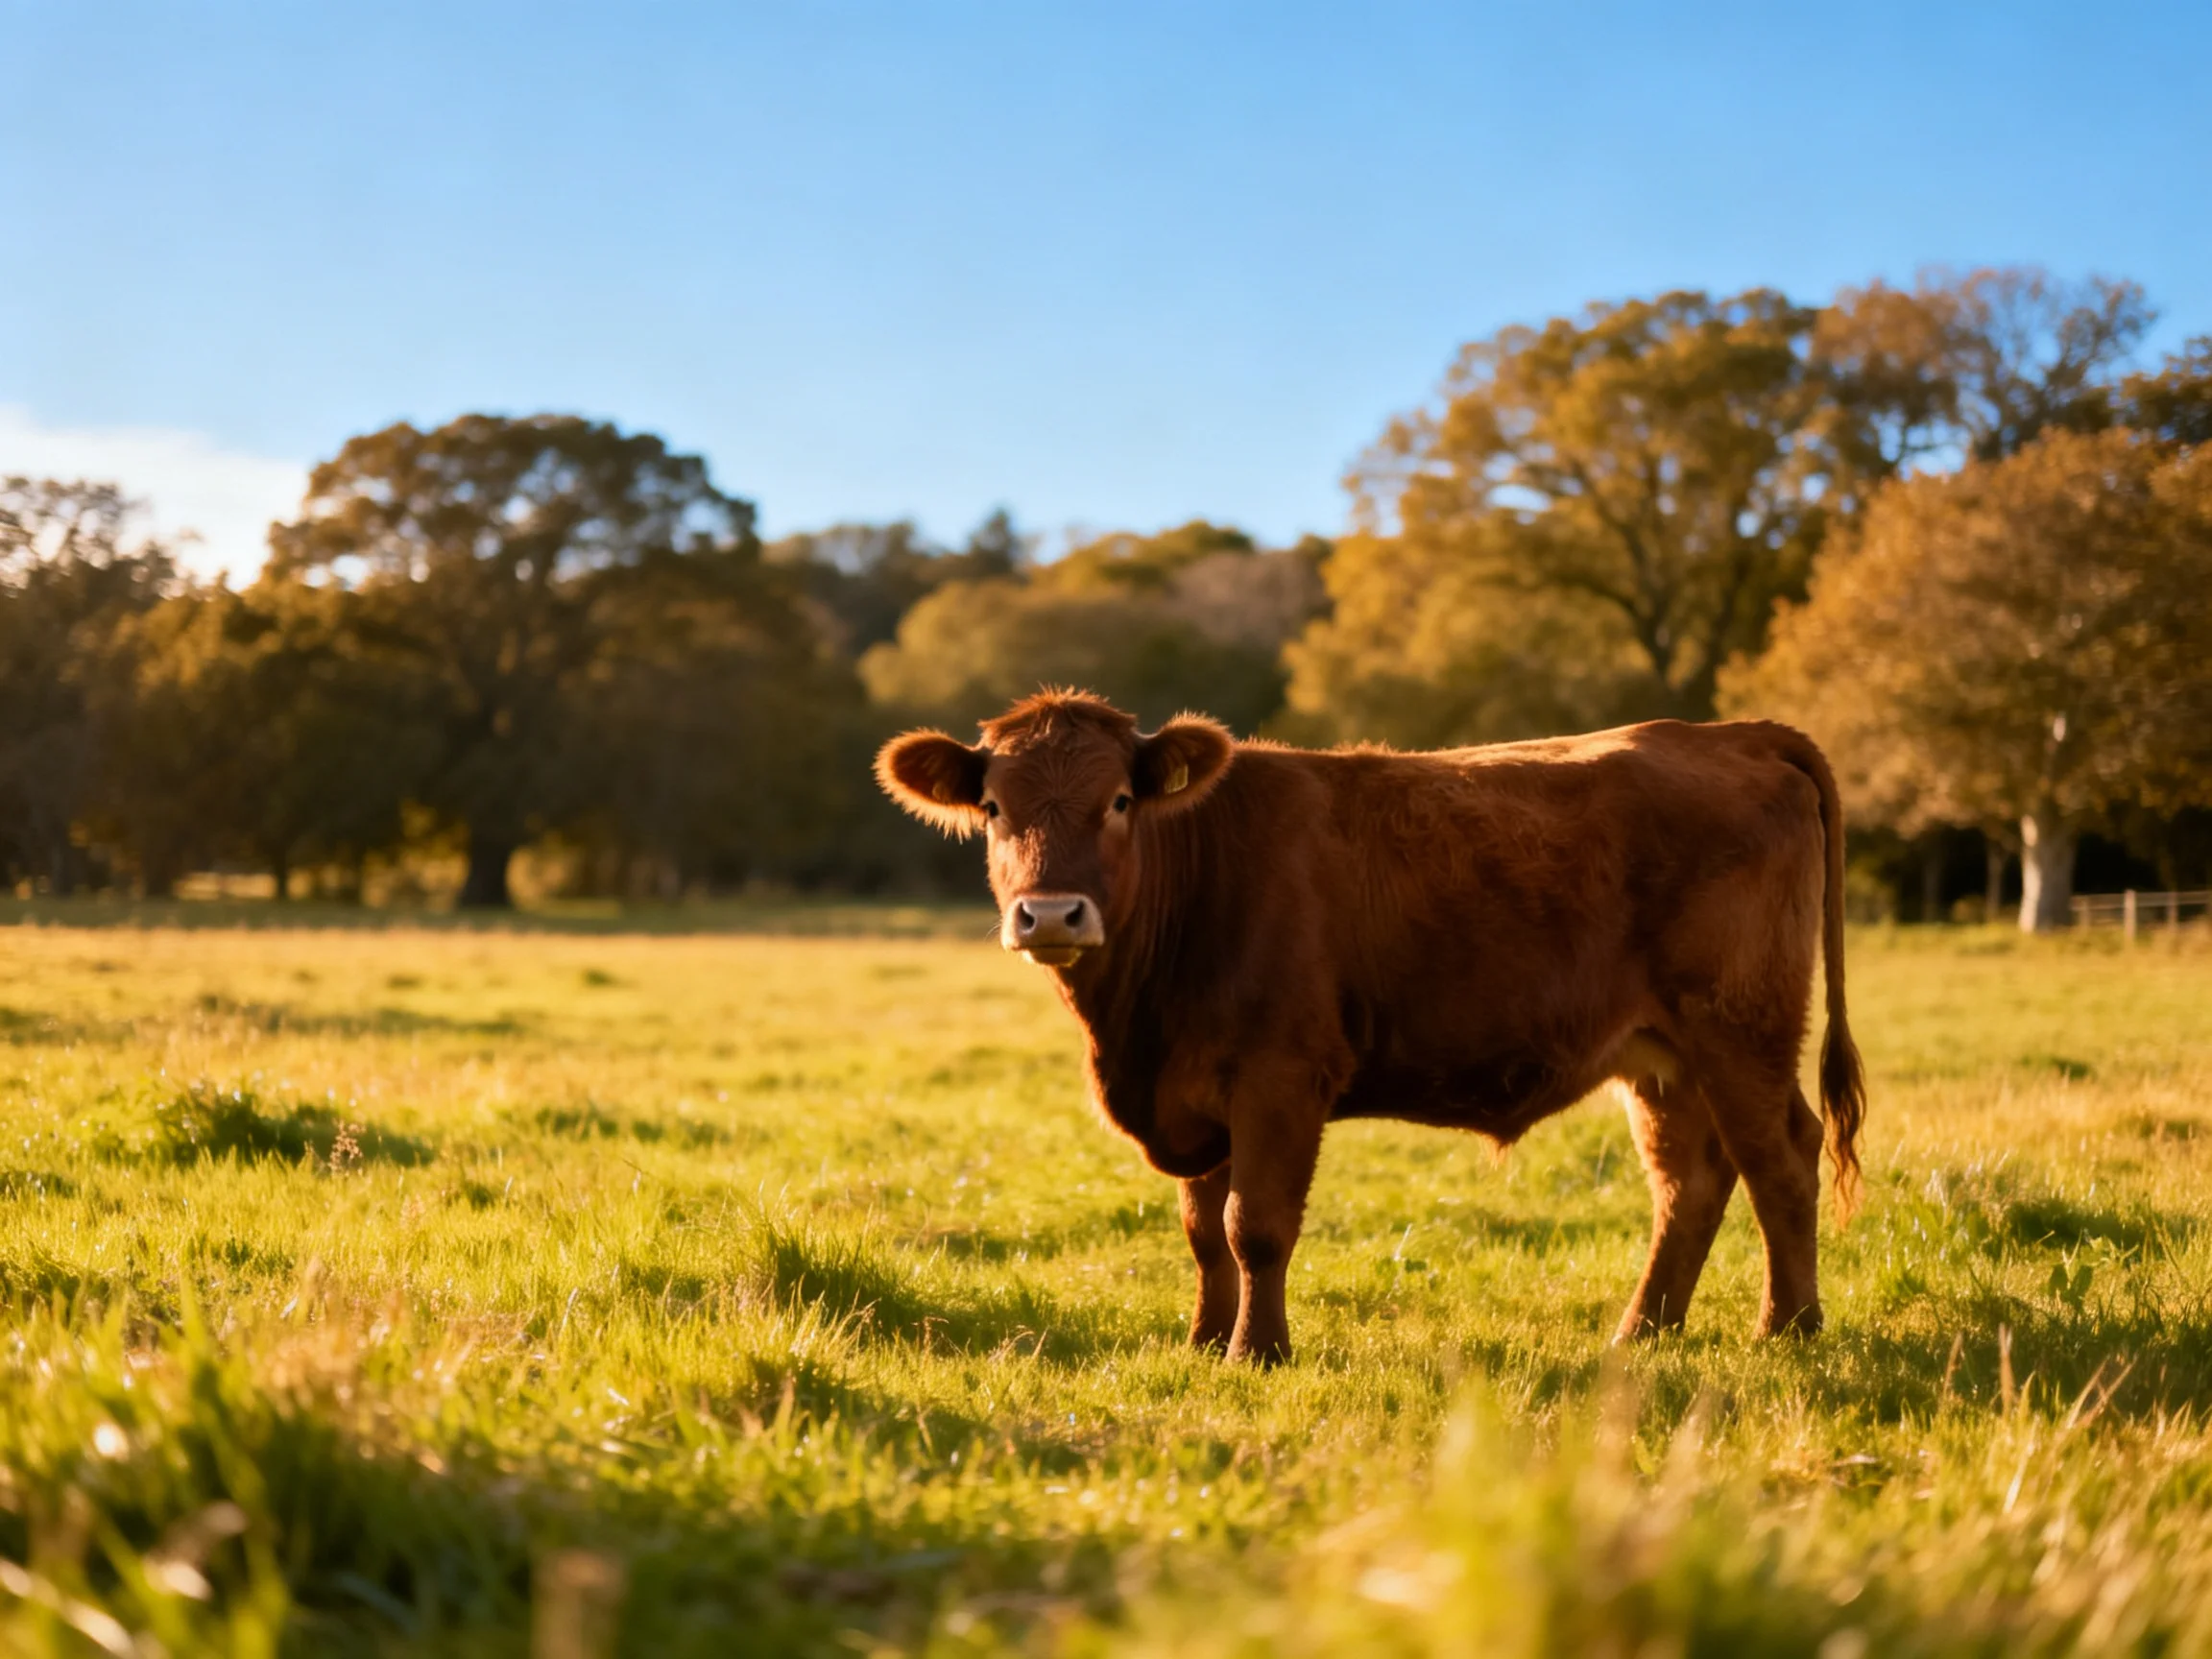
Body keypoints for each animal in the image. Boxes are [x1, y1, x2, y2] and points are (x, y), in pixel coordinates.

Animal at [876, 690, 1866, 1365]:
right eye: (995, 809)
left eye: (1118, 801)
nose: (1051, 915)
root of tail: (1730, 732)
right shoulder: (1196, 1093)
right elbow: (1202, 1231)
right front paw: (1203, 1342)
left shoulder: (1280, 1074)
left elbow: (1254, 1224)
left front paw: (1258, 1352)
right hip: (1663, 1058)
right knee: (1689, 1182)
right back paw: (1642, 1334)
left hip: (1741, 1027)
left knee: (1781, 1160)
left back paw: (1788, 1330)